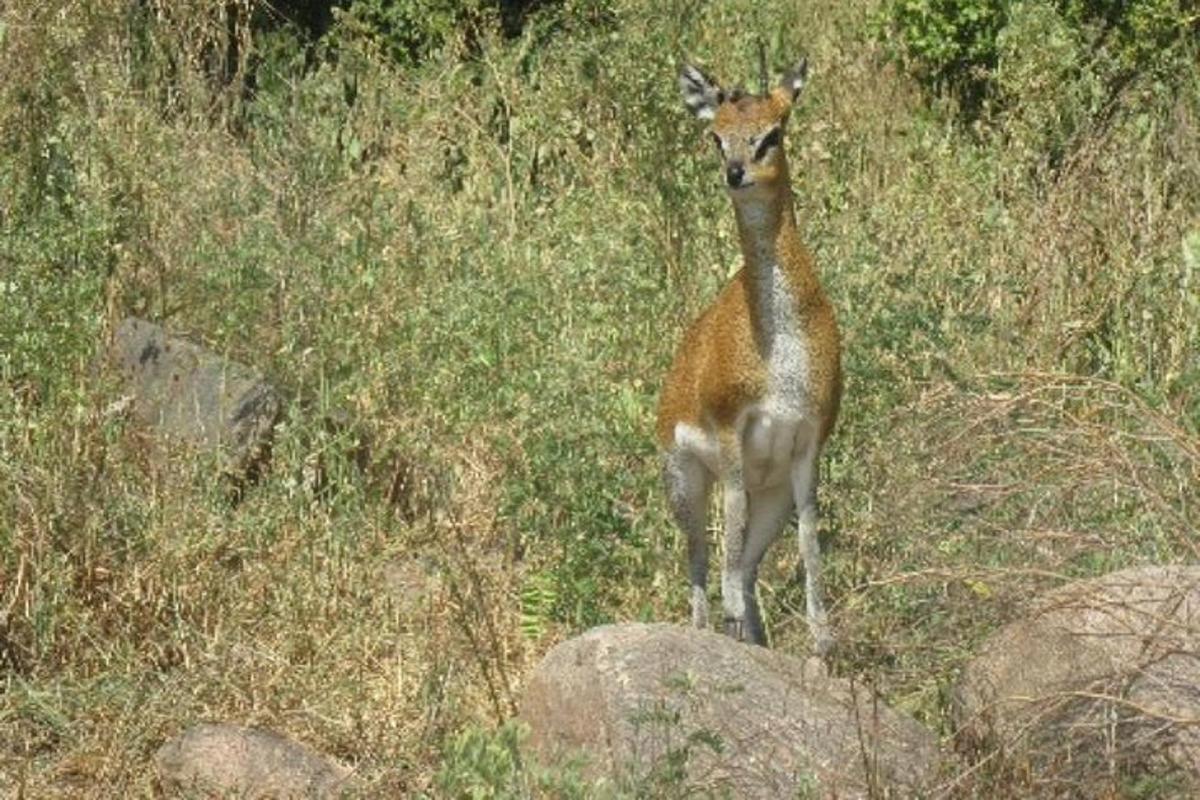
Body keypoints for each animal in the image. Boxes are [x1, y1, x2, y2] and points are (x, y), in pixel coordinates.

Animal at [657, 57, 844, 657]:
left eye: (773, 132)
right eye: (716, 136)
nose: (736, 173)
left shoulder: (807, 444)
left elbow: (807, 540)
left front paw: (822, 641)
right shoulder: (730, 435)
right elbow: (729, 540)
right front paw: (732, 622)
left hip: (772, 493)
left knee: (749, 565)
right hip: (685, 479)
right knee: (700, 554)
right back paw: (709, 629)